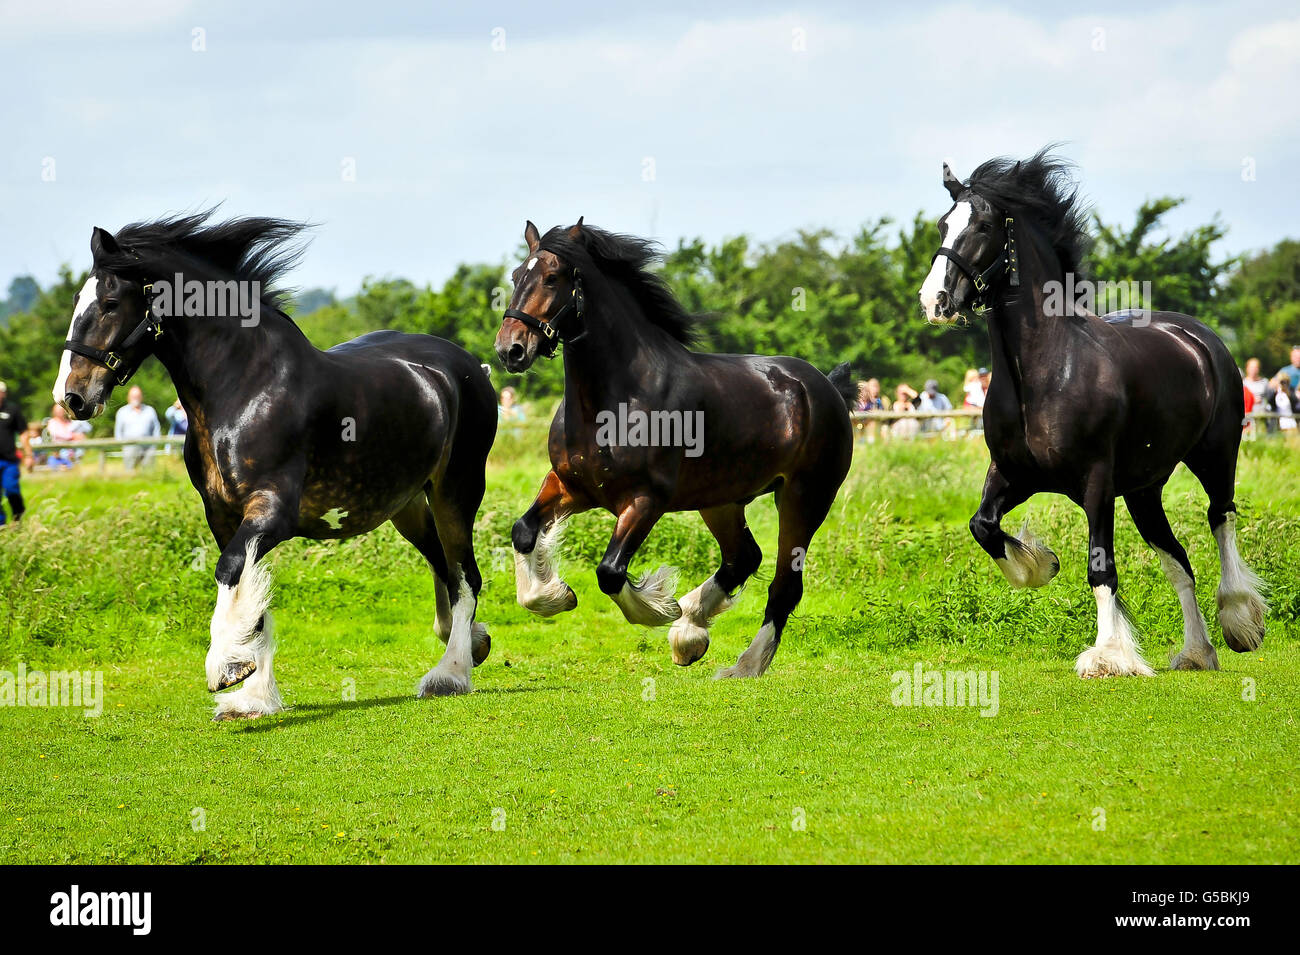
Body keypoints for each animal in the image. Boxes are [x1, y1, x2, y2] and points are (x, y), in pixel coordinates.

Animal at [54, 210, 496, 717]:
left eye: (109, 302)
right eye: (77, 300)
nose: (71, 397)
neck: (245, 386)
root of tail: (469, 366)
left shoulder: (272, 513)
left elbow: (229, 571)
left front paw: (225, 667)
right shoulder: (224, 517)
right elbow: (252, 599)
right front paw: (252, 695)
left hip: (456, 491)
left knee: (465, 575)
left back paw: (451, 674)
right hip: (406, 506)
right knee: (444, 566)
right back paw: (473, 643)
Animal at [488, 220, 852, 675]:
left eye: (552, 277)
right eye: (516, 276)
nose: (510, 349)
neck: (613, 400)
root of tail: (825, 386)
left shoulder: (645, 499)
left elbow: (610, 571)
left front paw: (660, 608)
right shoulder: (572, 487)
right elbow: (523, 532)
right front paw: (558, 595)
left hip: (804, 497)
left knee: (784, 583)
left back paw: (743, 664)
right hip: (721, 500)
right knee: (742, 557)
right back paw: (691, 634)